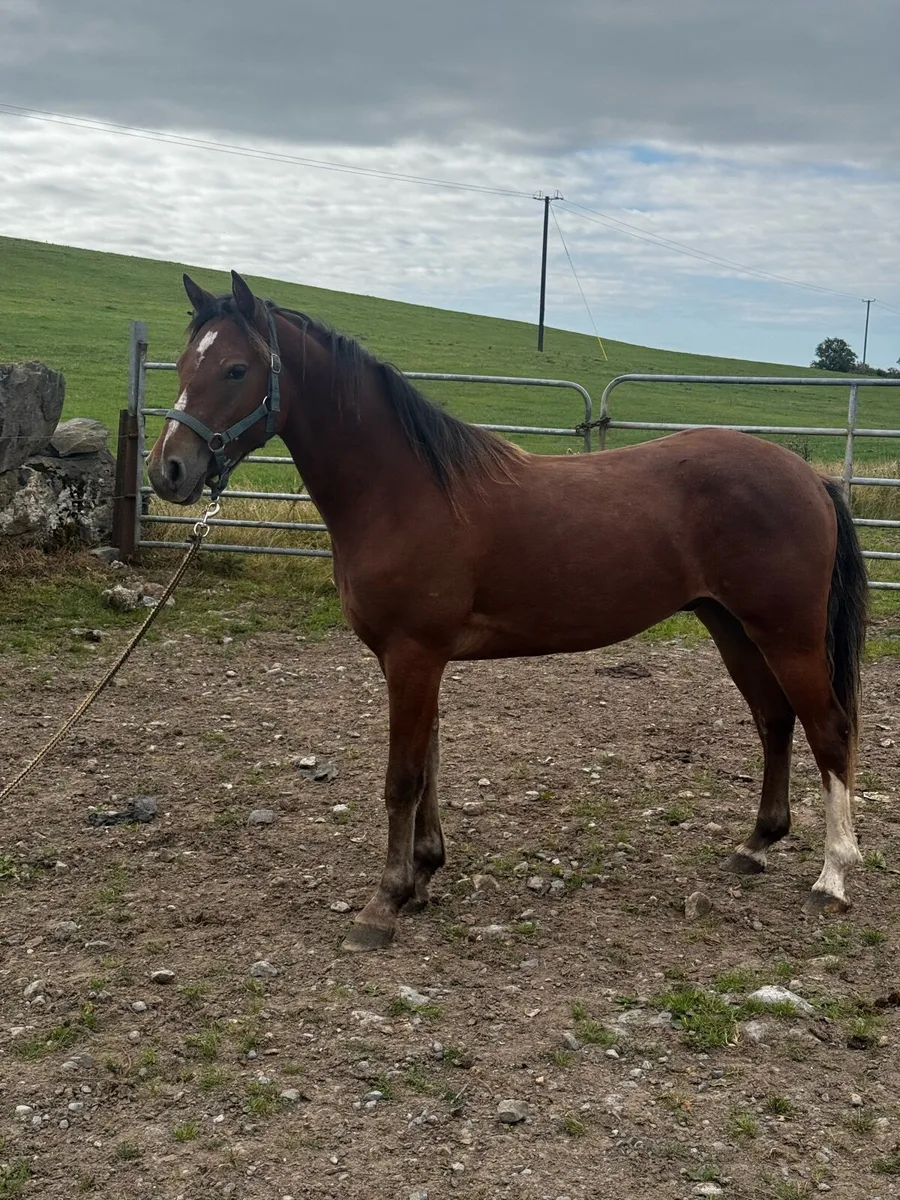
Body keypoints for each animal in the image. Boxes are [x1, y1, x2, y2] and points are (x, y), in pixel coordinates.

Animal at [147, 270, 869, 953]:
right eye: (182, 365)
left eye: (235, 369)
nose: (168, 472)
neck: (403, 491)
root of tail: (809, 478)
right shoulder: (419, 662)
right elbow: (429, 765)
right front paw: (422, 875)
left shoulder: (412, 657)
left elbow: (402, 777)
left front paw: (383, 903)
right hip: (732, 627)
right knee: (775, 721)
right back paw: (755, 846)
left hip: (786, 635)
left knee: (828, 729)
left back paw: (832, 878)